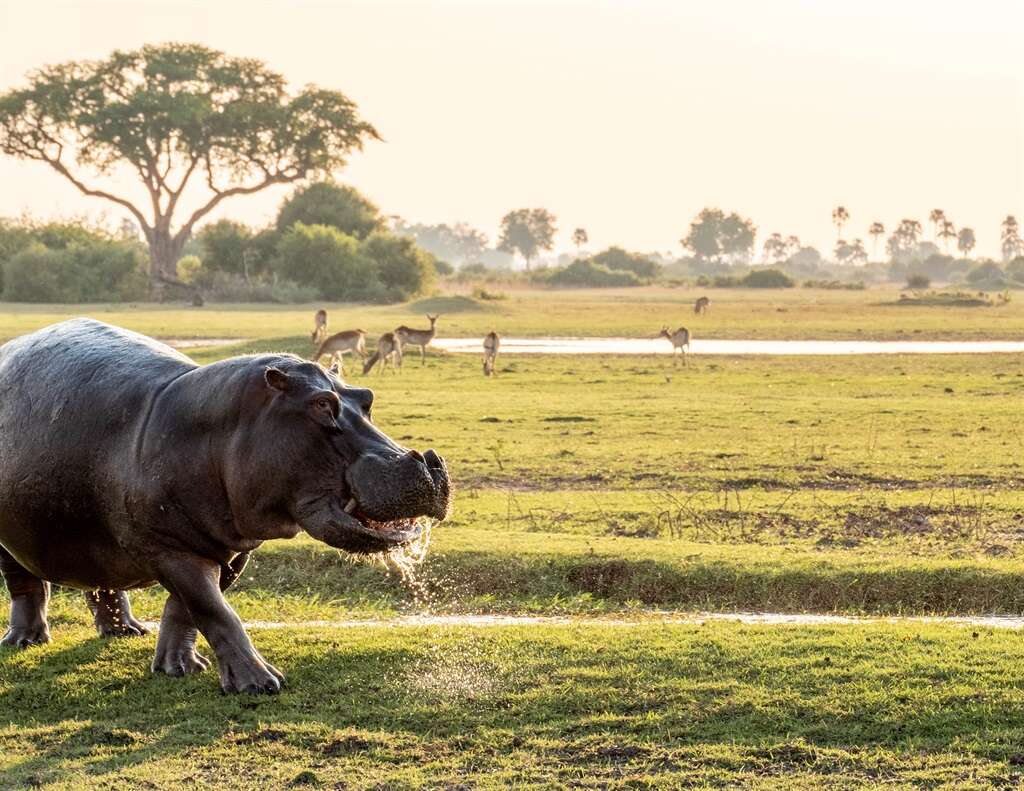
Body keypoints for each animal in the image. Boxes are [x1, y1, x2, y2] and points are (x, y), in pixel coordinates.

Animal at [0, 319, 448, 692]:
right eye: (322, 405)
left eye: (366, 397)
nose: (429, 461)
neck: (224, 427)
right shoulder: (169, 548)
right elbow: (214, 610)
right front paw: (261, 684)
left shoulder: (230, 547)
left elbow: (187, 608)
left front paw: (179, 667)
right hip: (11, 543)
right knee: (25, 585)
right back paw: (26, 640)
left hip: (94, 536)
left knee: (102, 580)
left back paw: (125, 631)